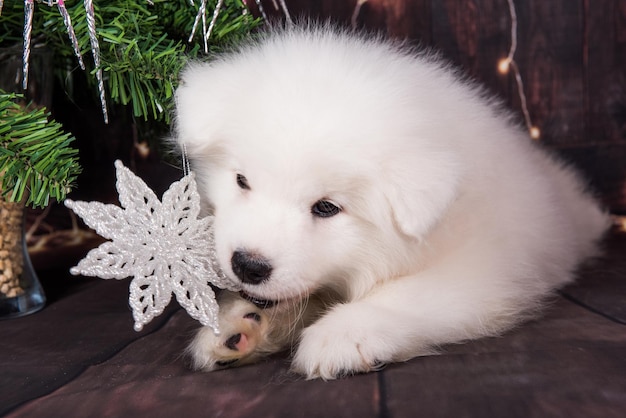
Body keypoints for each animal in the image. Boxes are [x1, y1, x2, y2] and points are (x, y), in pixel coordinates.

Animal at [173, 24, 608, 380]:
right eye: (242, 181)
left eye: (326, 208)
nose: (248, 265)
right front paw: (241, 322)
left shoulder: (490, 265)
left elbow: (413, 293)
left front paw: (344, 332)